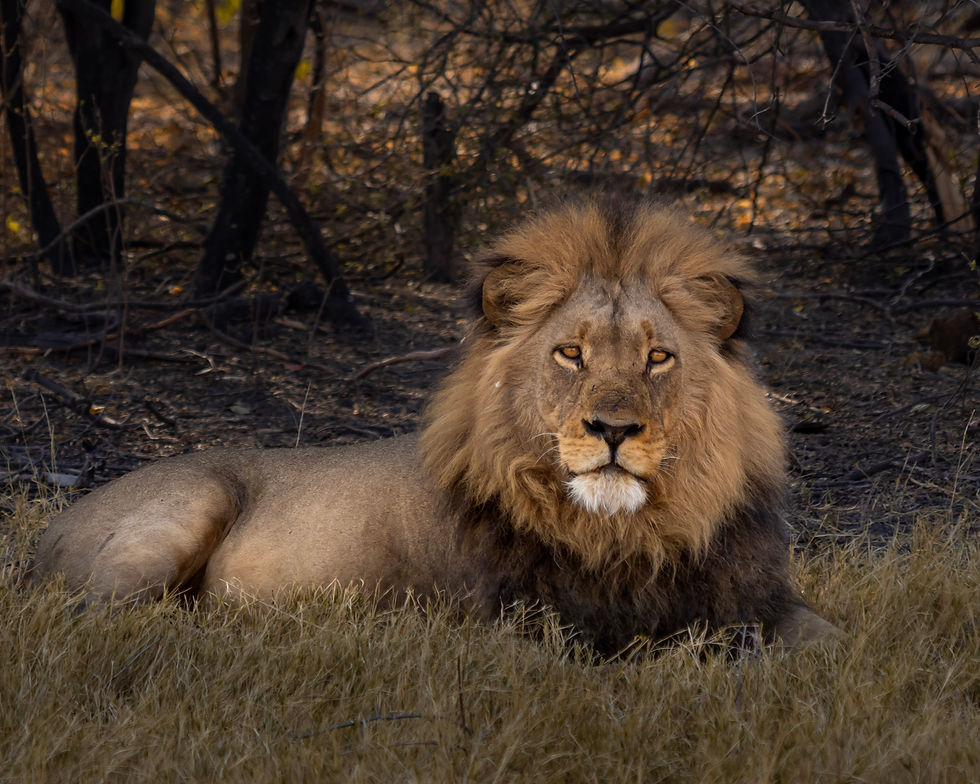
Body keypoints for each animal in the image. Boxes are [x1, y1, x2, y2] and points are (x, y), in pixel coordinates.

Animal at [32, 198, 839, 653]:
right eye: (571, 353)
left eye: (659, 357)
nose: (613, 428)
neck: (623, 535)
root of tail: (50, 525)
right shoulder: (513, 625)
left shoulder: (765, 602)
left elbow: (829, 643)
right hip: (180, 511)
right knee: (95, 617)